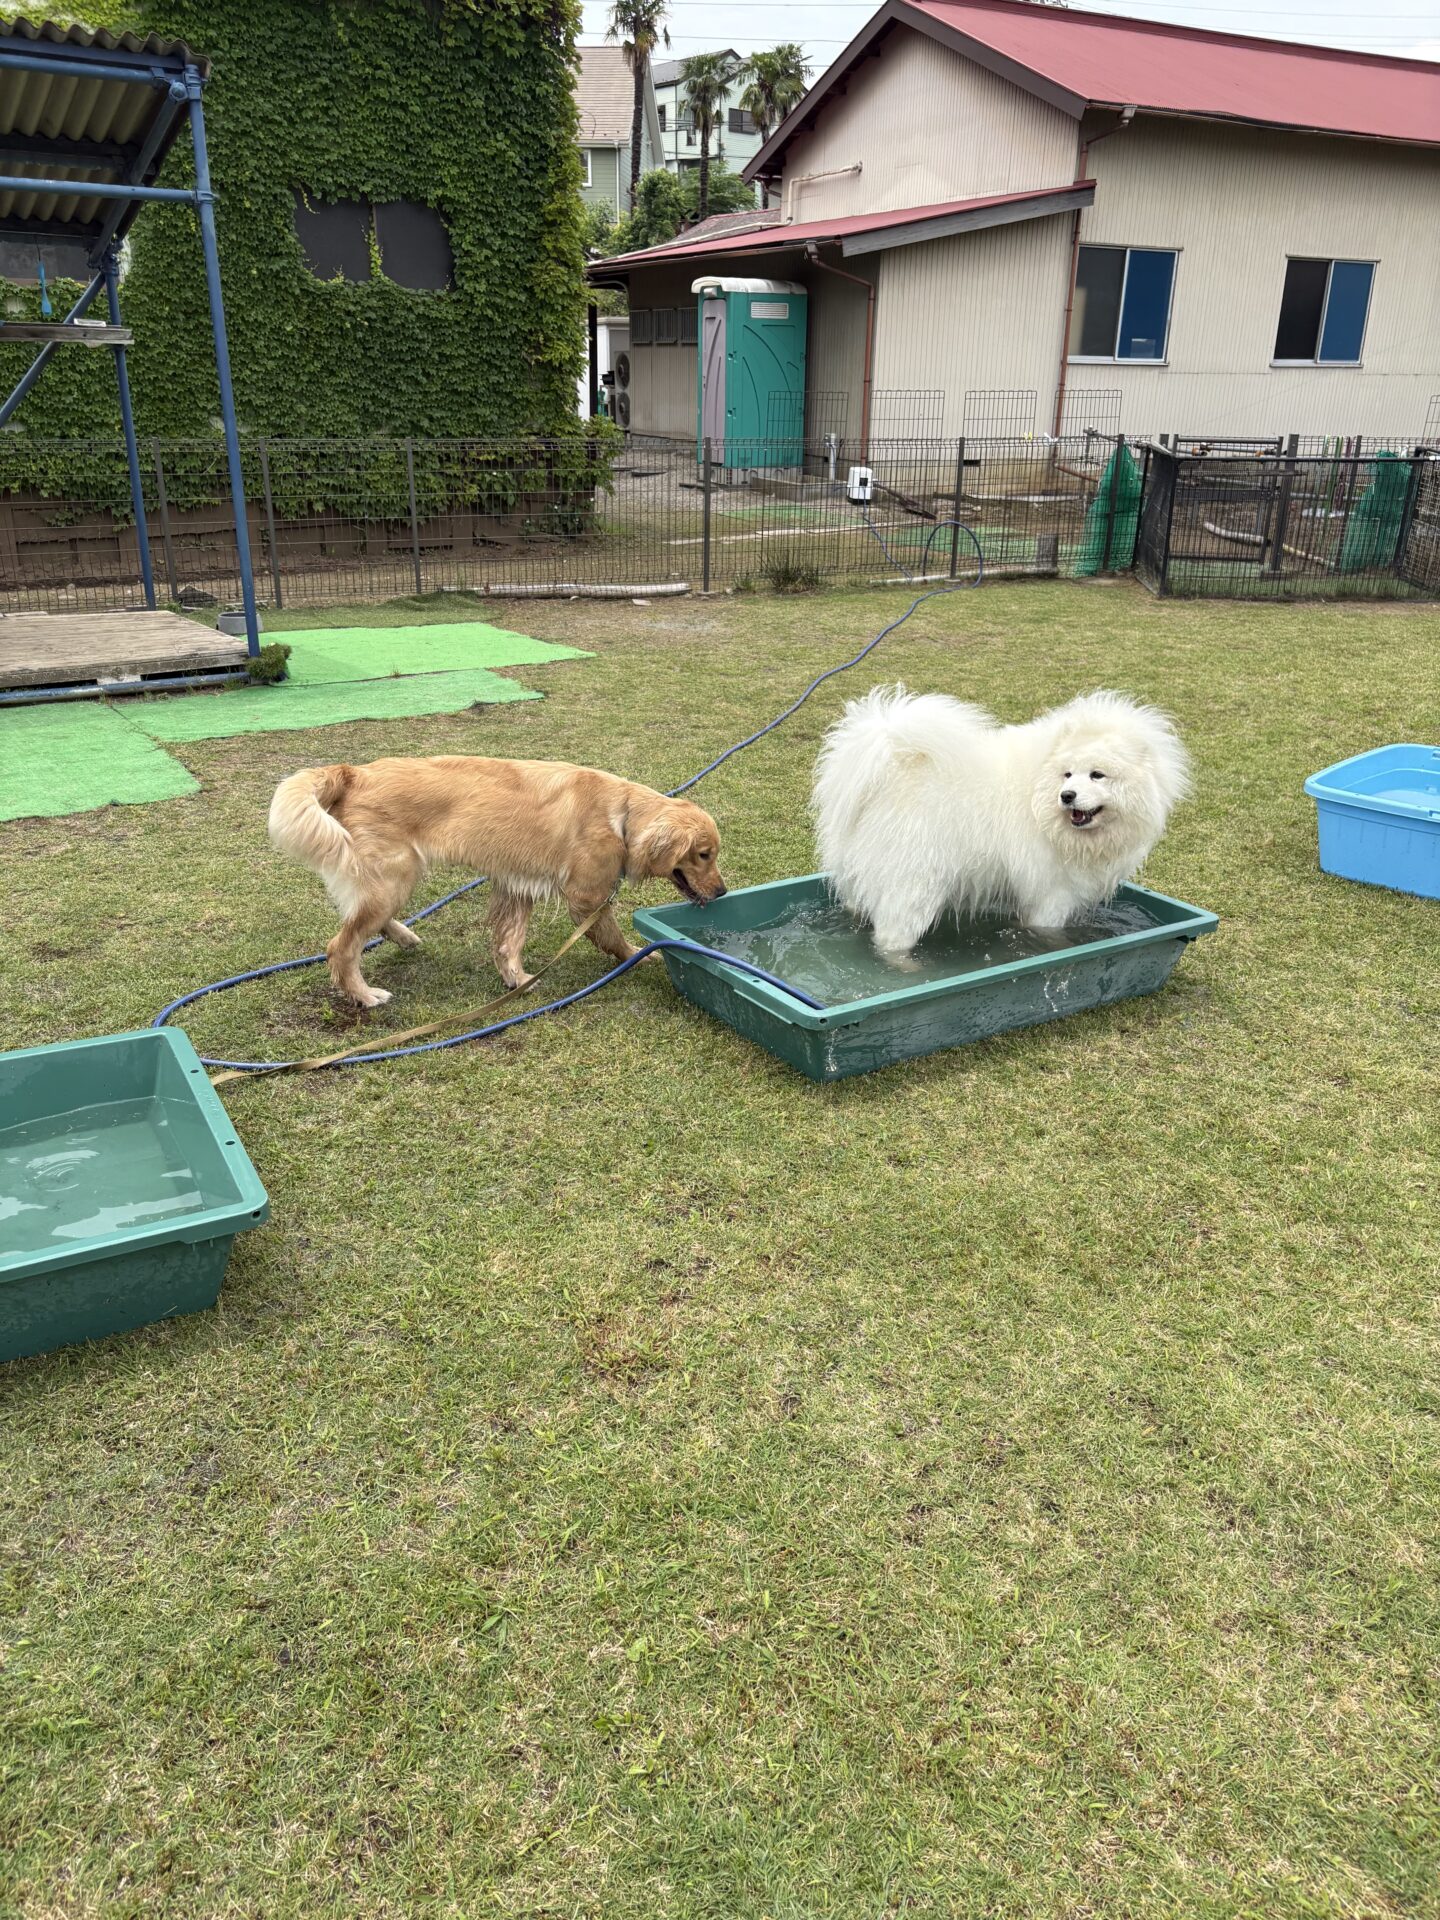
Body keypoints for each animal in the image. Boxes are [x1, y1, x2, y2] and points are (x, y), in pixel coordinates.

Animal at [268, 755, 726, 1006]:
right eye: (704, 854)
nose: (722, 891)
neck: (622, 813)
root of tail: (353, 772)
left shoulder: (517, 884)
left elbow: (509, 941)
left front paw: (516, 979)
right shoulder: (586, 896)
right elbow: (612, 937)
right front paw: (638, 954)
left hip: (394, 878)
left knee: (366, 922)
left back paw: (403, 936)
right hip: (394, 876)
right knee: (341, 946)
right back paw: (364, 995)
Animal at [812, 686, 1190, 959]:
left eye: (1097, 775)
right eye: (1068, 774)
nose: (1067, 796)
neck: (1039, 794)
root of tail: (887, 771)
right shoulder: (1053, 892)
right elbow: (1050, 932)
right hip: (914, 884)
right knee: (892, 937)